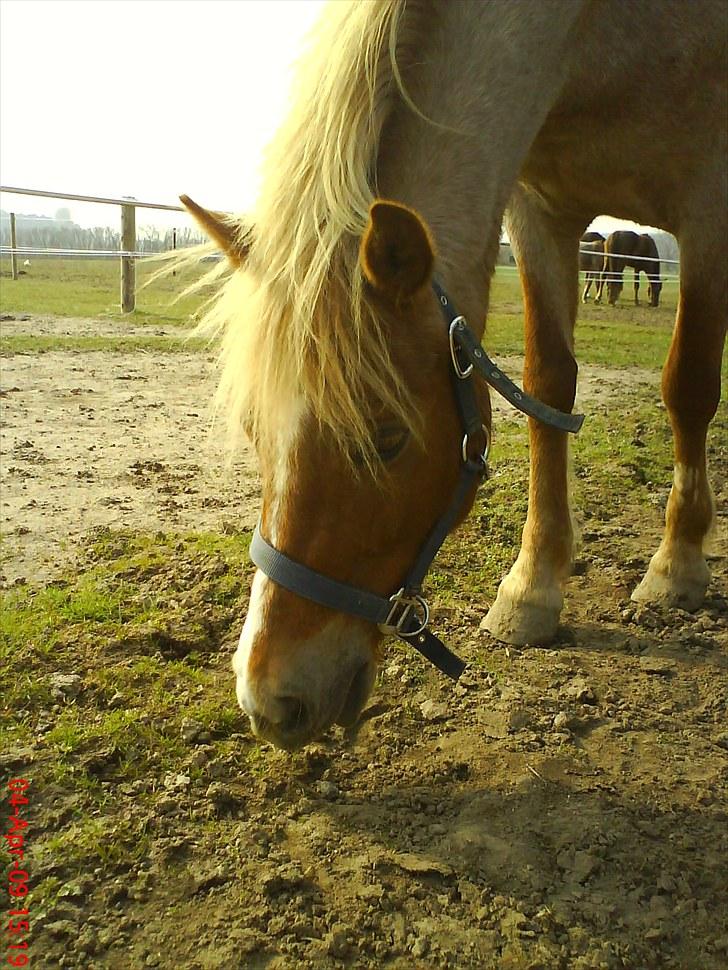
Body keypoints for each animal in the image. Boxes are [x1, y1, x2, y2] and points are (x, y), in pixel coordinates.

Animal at [183, 0, 726, 750]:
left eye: (387, 438)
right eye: (254, 430)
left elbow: (688, 386)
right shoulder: (540, 210)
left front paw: (678, 563)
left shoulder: (709, 205)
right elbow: (548, 386)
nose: (269, 702)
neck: (594, 41)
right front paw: (532, 587)